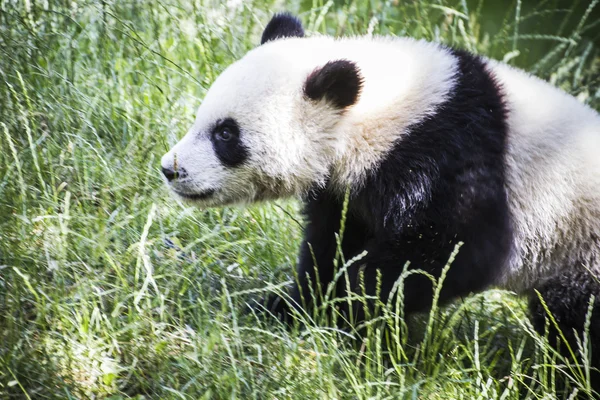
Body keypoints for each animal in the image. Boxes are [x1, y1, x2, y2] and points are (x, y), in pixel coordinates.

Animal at [162, 13, 600, 384]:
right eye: (203, 118)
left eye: (226, 134)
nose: (171, 169)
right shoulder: (348, 189)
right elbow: (331, 243)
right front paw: (292, 309)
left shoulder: (449, 150)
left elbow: (462, 247)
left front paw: (354, 316)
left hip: (581, 246)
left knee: (579, 324)